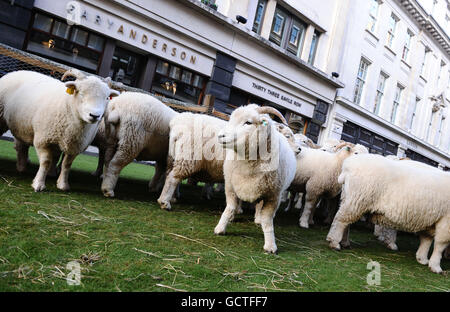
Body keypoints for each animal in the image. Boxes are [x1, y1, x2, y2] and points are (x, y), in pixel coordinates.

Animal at [213, 105, 298, 254]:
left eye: (248, 122)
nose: (221, 136)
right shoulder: (230, 187)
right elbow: (229, 208)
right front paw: (220, 228)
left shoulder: (273, 196)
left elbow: (268, 220)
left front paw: (270, 246)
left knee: (260, 208)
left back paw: (259, 219)